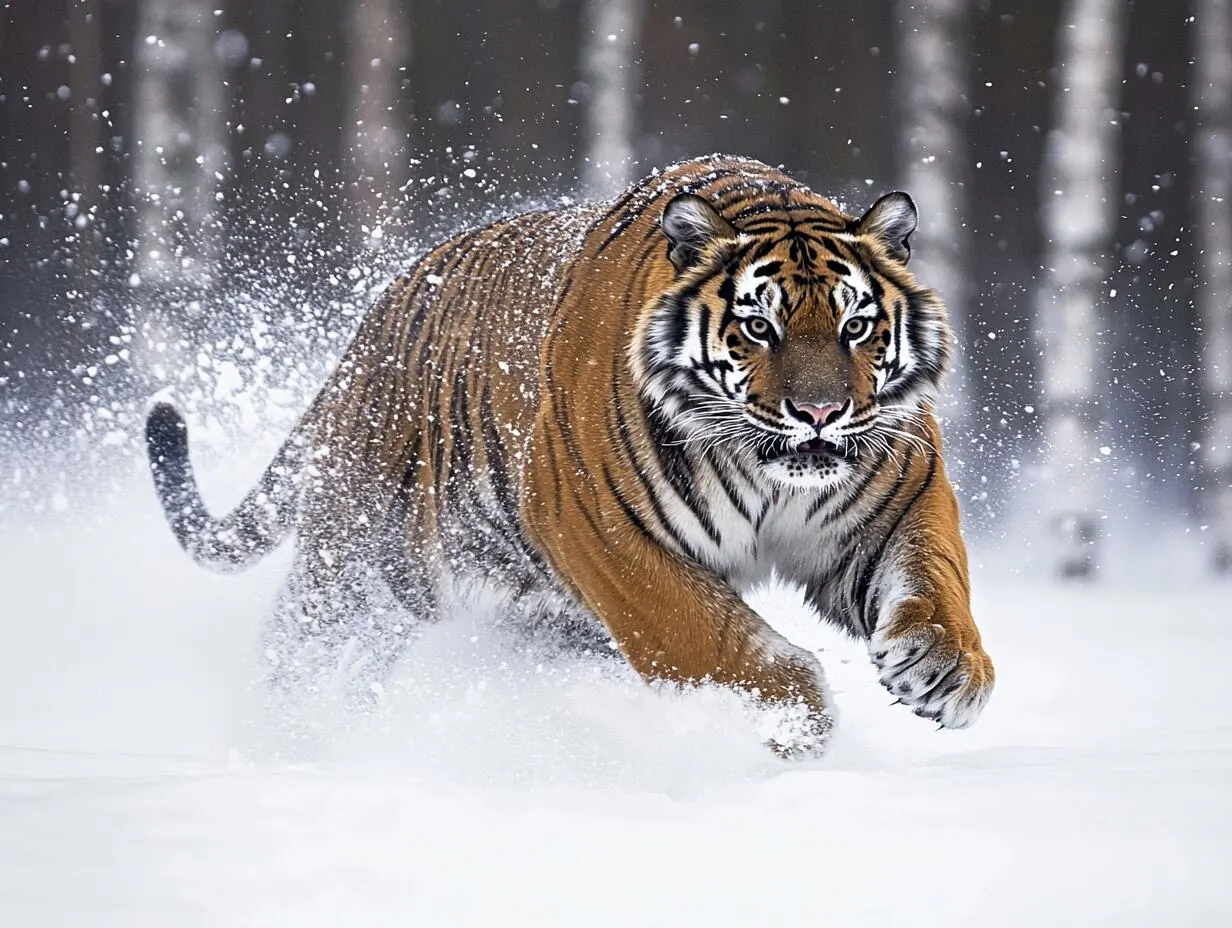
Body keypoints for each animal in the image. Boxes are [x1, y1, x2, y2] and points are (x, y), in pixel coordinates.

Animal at [146, 154, 994, 756]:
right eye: (760, 327)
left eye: (856, 327)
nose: (820, 414)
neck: (769, 472)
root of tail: (368, 335)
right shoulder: (602, 528)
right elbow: (710, 634)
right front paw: (794, 719)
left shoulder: (900, 499)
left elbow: (935, 574)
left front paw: (946, 669)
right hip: (354, 576)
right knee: (294, 659)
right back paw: (275, 745)